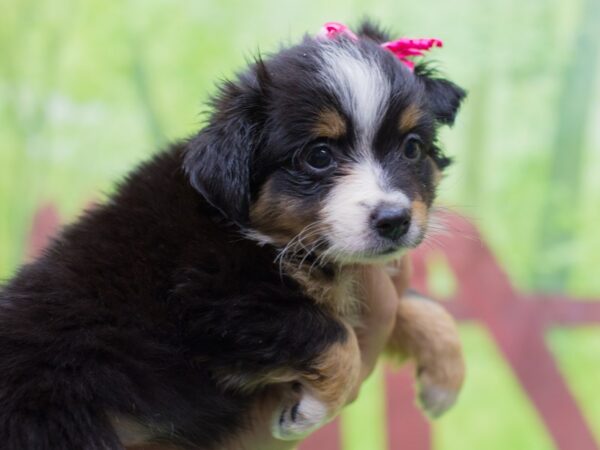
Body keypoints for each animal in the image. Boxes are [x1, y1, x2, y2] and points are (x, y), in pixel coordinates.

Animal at [0, 20, 466, 450]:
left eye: (412, 147)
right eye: (318, 156)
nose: (394, 220)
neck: (248, 226)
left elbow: (422, 307)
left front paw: (445, 377)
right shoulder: (215, 298)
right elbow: (335, 335)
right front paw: (309, 413)